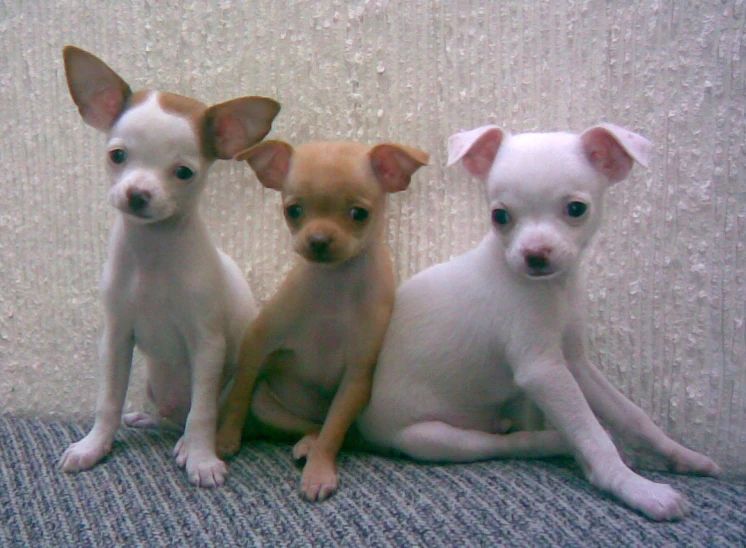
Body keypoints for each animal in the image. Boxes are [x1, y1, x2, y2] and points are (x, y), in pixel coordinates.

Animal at [57, 45, 280, 486]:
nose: (137, 194)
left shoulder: (207, 345)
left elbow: (203, 412)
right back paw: (148, 419)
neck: (152, 254)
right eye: (117, 156)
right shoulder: (116, 337)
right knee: (168, 416)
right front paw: (94, 446)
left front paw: (201, 458)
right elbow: (107, 400)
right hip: (153, 385)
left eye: (183, 172)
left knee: (200, 416)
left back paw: (189, 443)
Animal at [214, 138, 424, 500]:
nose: (318, 241)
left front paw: (319, 471)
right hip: (268, 405)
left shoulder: (356, 378)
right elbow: (240, 393)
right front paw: (226, 437)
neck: (334, 284)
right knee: (306, 422)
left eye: (359, 214)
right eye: (294, 211)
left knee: (329, 427)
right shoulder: (257, 343)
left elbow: (334, 429)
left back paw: (310, 447)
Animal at [358, 122, 716, 520]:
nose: (535, 255)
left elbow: (633, 416)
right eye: (499, 216)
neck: (551, 290)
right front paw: (636, 488)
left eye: (576, 209)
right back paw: (552, 440)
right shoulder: (543, 370)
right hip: (432, 437)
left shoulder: (575, 363)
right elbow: (593, 435)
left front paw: (683, 456)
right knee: (504, 444)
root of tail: (367, 427)